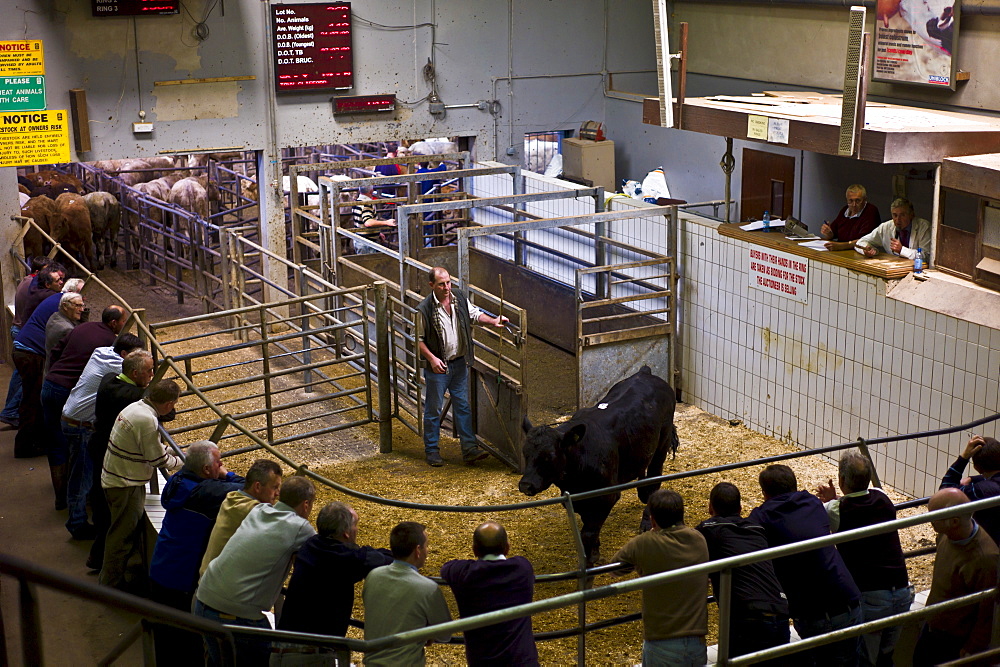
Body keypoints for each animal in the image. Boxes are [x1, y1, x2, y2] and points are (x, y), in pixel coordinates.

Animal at [516, 368, 680, 568]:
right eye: (525, 453)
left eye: (549, 456)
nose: (526, 485)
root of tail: (645, 373)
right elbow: (588, 524)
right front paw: (594, 550)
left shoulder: (606, 495)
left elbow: (588, 532)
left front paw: (590, 559)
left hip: (662, 444)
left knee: (655, 479)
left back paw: (647, 522)